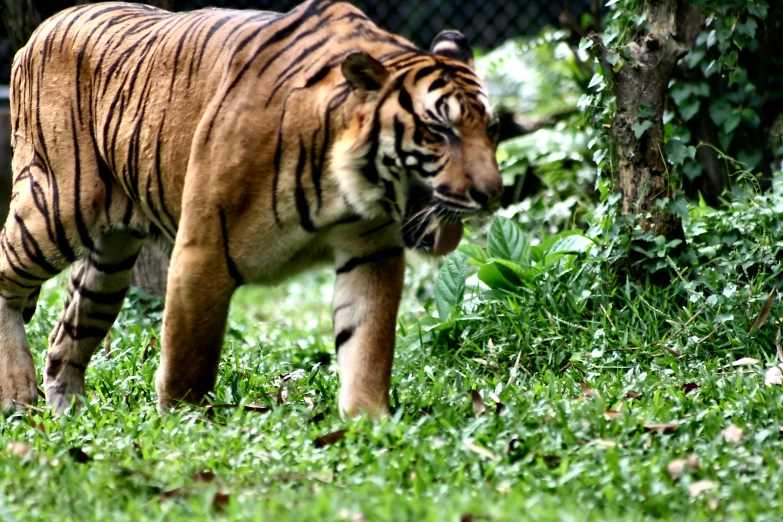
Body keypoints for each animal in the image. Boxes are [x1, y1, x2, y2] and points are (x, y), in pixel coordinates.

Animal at [0, 0, 502, 414]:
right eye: (438, 131)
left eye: (492, 129)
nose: (492, 194)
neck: (346, 185)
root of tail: (42, 28)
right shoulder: (202, 249)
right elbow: (190, 356)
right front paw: (186, 424)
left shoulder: (371, 253)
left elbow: (367, 344)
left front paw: (368, 423)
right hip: (56, 206)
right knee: (7, 274)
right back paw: (18, 393)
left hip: (110, 257)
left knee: (66, 336)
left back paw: (68, 411)